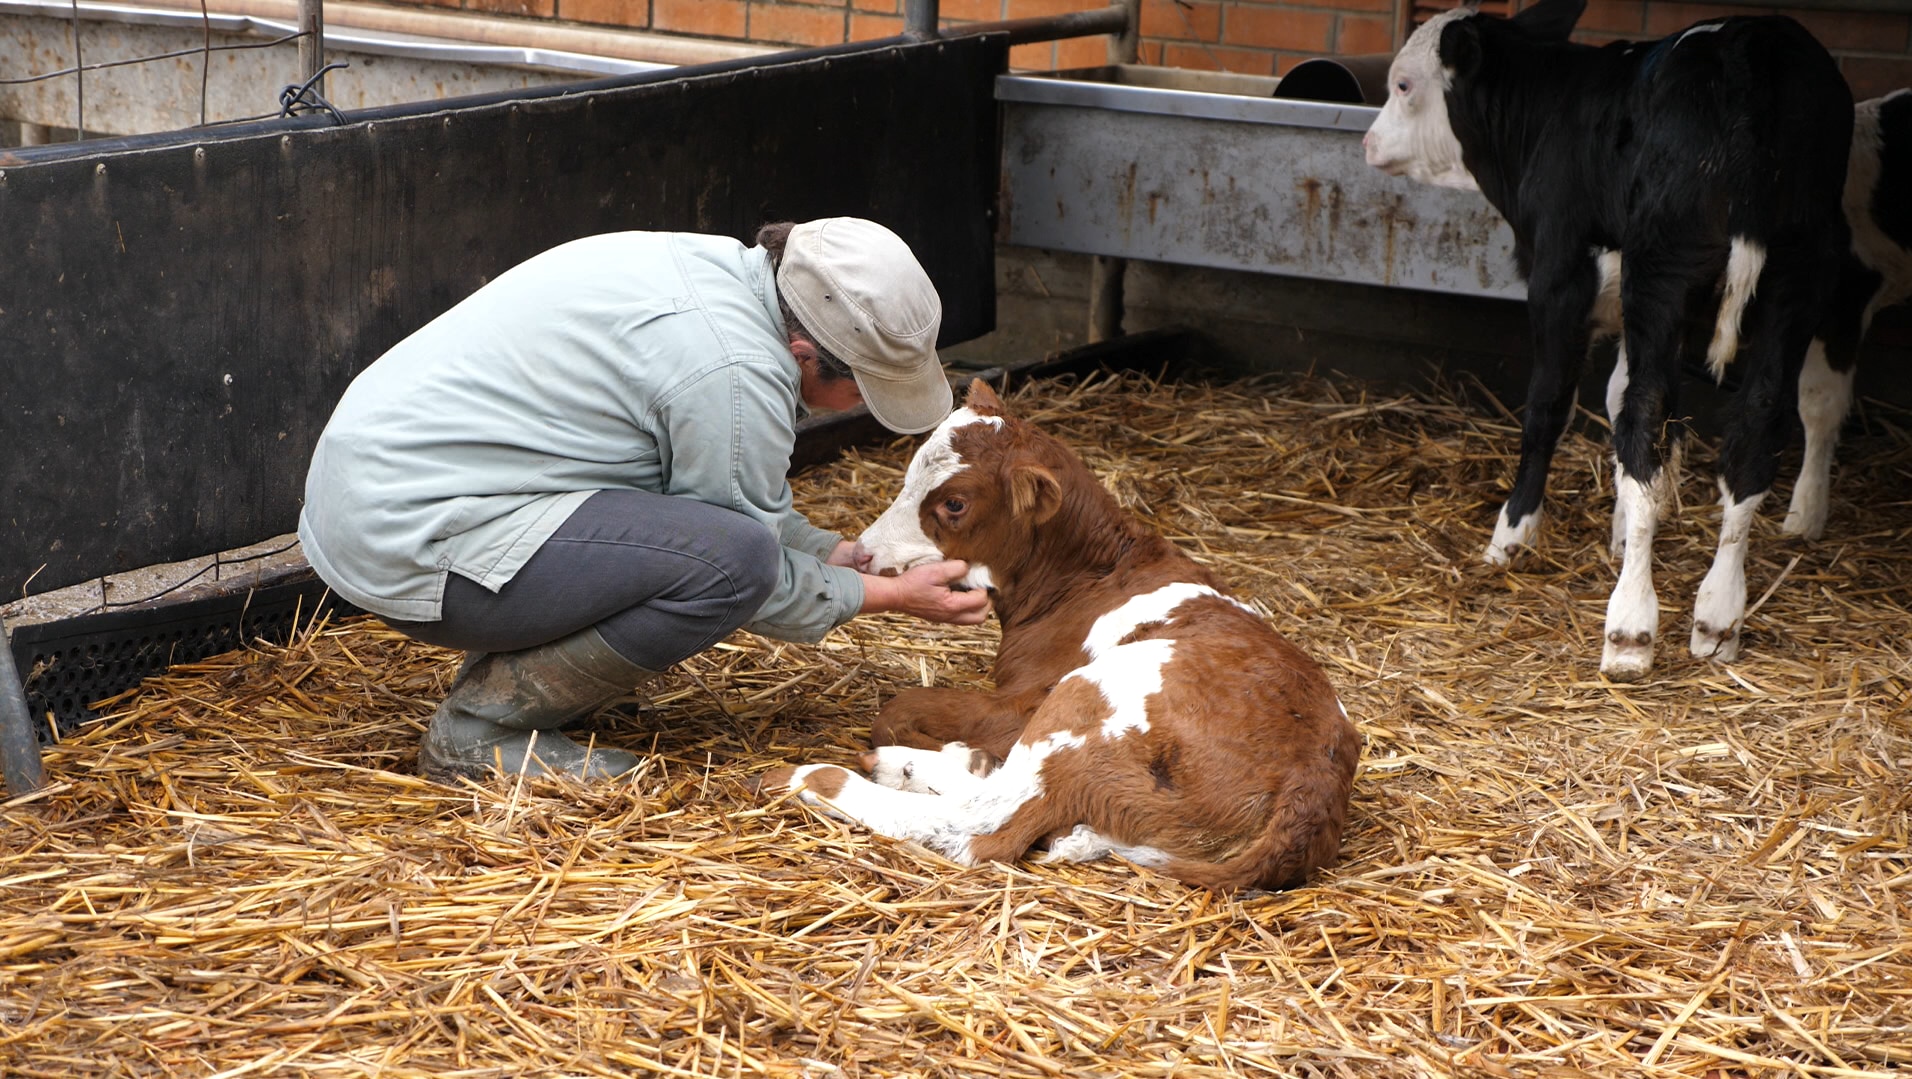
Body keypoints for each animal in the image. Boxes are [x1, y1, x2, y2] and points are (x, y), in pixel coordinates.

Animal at [760, 380, 1361, 895]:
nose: (862, 554)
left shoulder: (1025, 701)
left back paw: (818, 777)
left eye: (954, 503)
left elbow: (897, 707)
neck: (1091, 575)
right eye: (909, 476)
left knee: (983, 827)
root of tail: (1313, 782)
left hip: (1091, 697)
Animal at [1368, 0, 1858, 681]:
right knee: (1757, 427)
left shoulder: (1559, 280)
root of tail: (1750, 48)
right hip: (1799, 272)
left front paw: (1512, 535)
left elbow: (1552, 408)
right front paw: (1625, 533)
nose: (1368, 142)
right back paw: (1720, 611)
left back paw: (1630, 626)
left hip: (1663, 264)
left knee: (1647, 423)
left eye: (1403, 85)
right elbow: (1626, 400)